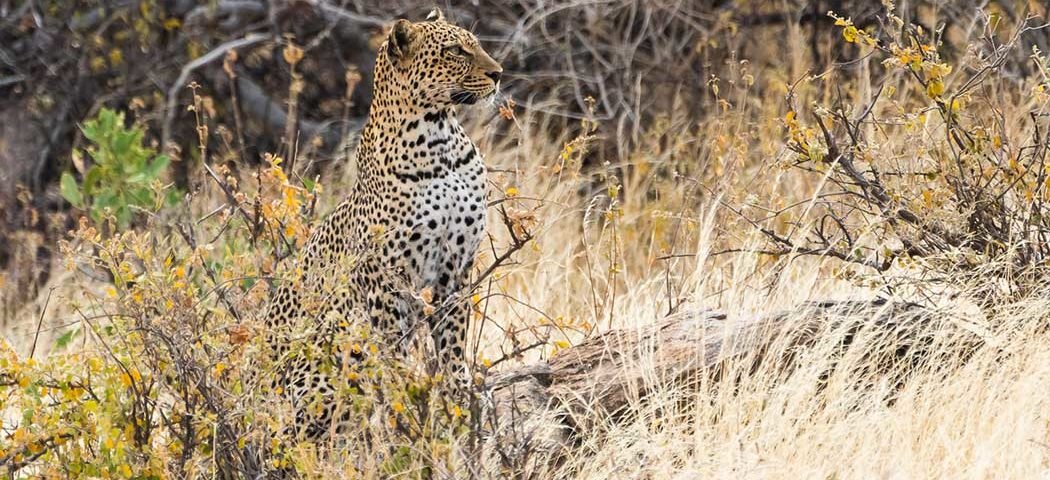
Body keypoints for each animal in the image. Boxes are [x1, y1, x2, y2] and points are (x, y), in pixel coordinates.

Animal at [262, 9, 502, 439]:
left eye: (474, 44)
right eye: (455, 51)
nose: (499, 73)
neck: (439, 138)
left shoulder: (457, 266)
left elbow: (454, 340)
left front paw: (459, 398)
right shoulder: (384, 275)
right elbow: (395, 348)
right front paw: (410, 395)